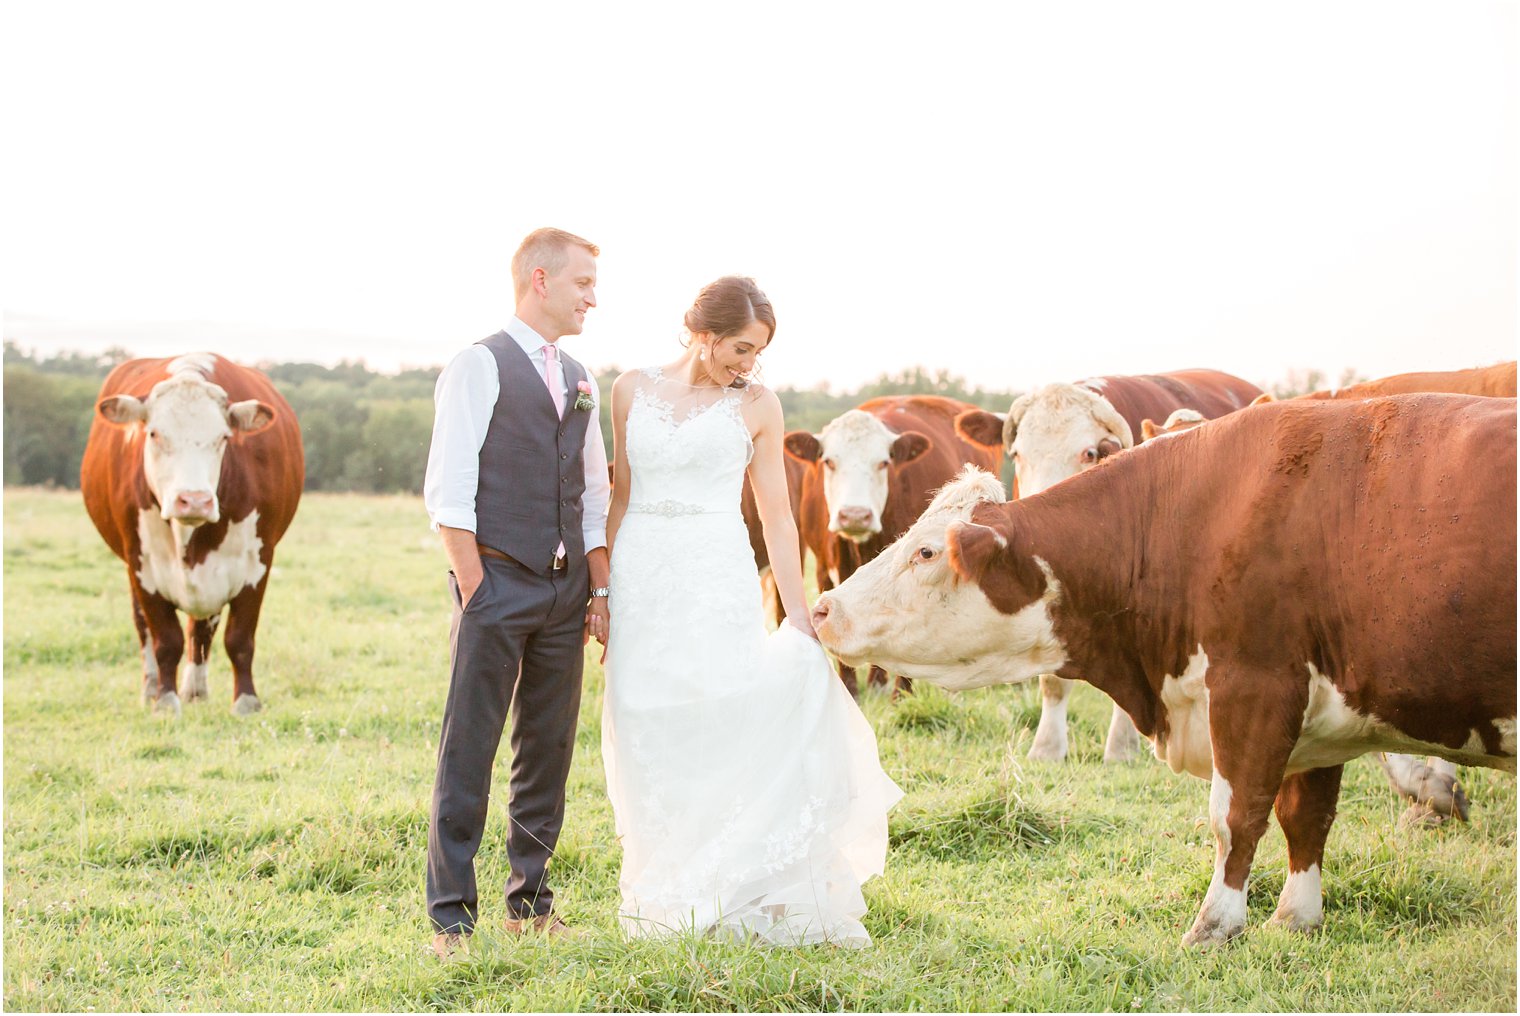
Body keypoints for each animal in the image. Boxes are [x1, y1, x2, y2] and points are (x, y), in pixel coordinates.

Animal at [80, 352, 305, 717]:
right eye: (154, 434)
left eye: (223, 438)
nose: (195, 500)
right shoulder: (143, 565)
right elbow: (166, 639)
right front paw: (165, 702)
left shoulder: (257, 561)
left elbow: (239, 638)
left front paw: (246, 702)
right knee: (144, 628)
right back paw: (151, 688)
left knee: (201, 629)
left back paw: (196, 689)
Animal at [784, 395, 1009, 699]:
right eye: (829, 461)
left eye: (883, 463)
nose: (855, 514)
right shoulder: (823, 568)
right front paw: (851, 689)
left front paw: (901, 697)